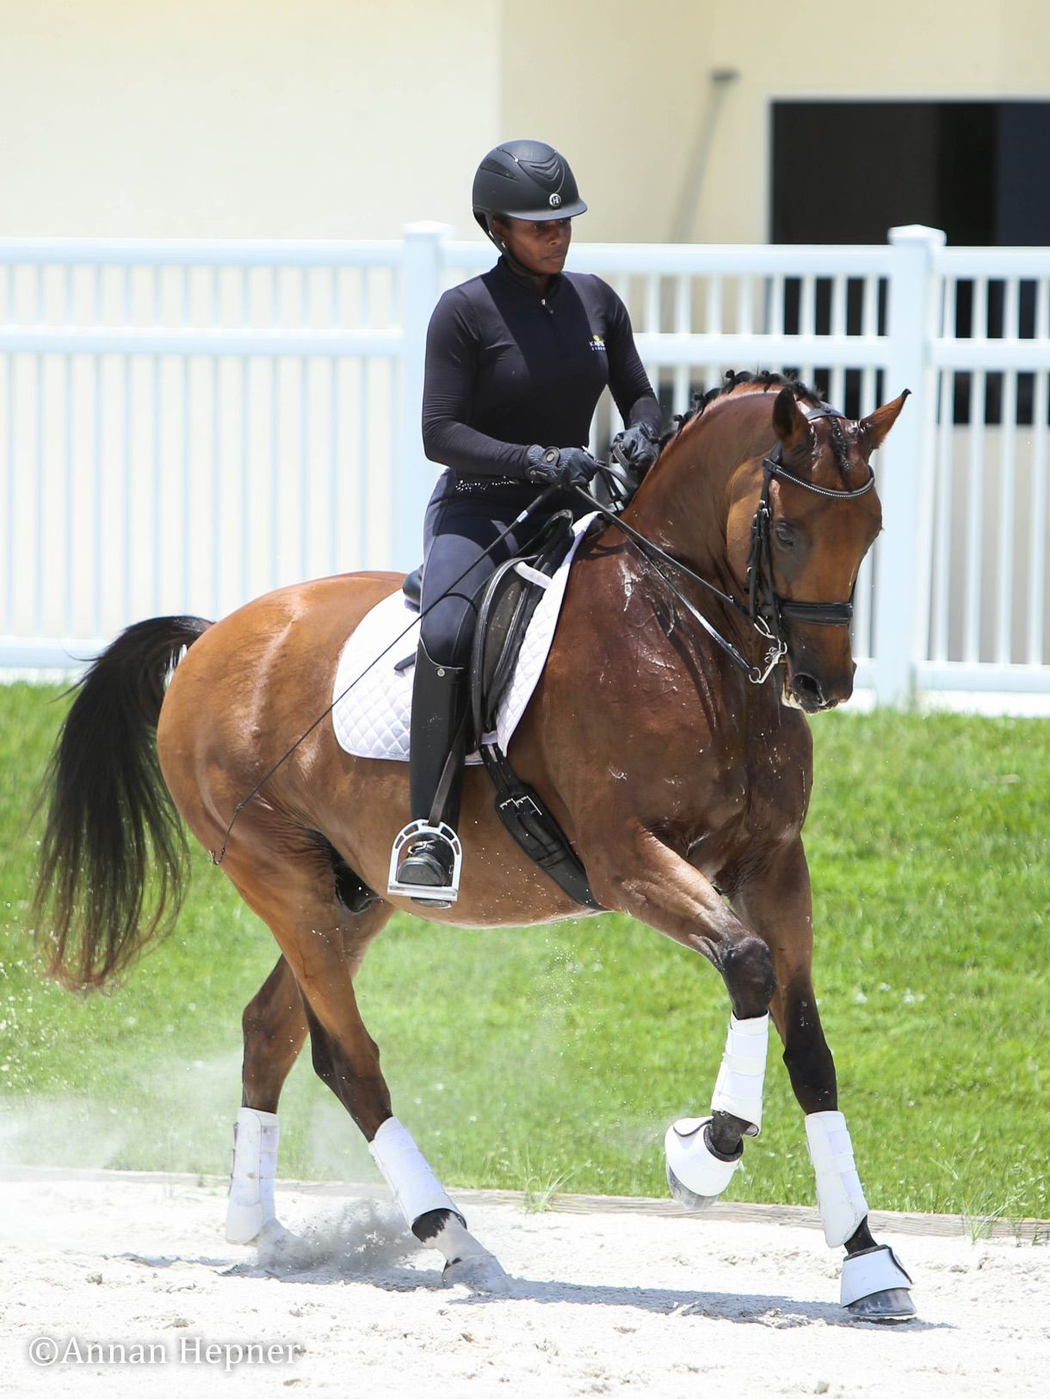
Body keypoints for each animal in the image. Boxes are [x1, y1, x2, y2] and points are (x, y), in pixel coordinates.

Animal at [32, 372, 914, 1319]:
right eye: (786, 529)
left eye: (872, 529)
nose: (824, 683)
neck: (677, 635)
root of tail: (211, 639)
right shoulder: (627, 859)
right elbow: (748, 967)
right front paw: (702, 1152)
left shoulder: (775, 863)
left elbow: (809, 1047)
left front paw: (867, 1258)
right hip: (280, 877)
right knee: (348, 1058)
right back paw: (454, 1238)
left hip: (354, 894)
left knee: (269, 1029)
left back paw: (259, 1229)